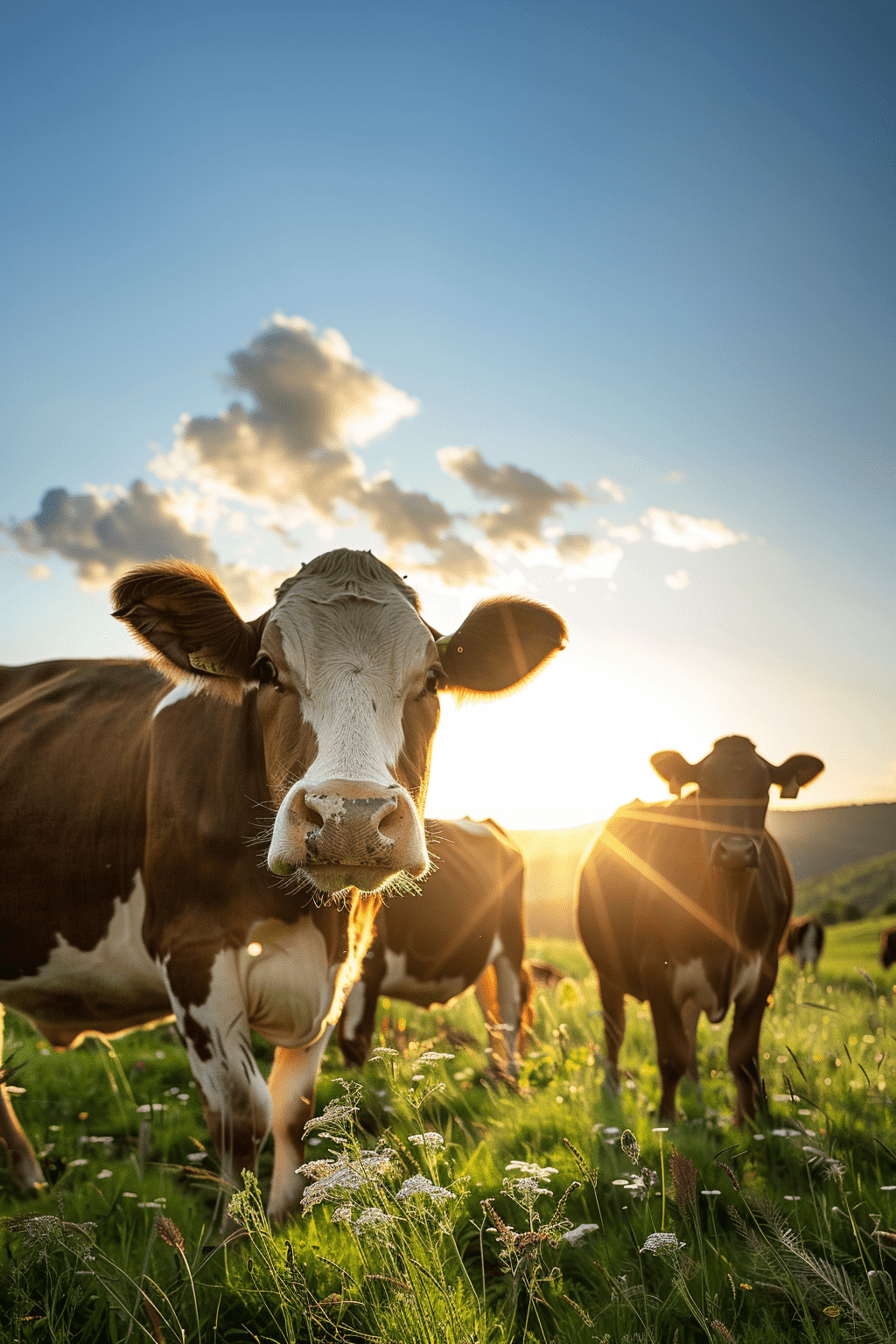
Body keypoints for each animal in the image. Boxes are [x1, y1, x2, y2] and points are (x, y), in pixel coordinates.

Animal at [337, 817, 531, 1075]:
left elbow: (353, 1044)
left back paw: (509, 1076)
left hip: (511, 944)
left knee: (510, 1009)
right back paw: (493, 1072)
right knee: (492, 1011)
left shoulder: (366, 969)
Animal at [575, 736, 824, 1124]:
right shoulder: (656, 969)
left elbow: (743, 1058)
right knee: (615, 1031)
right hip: (607, 969)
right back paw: (613, 1091)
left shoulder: (764, 972)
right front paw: (666, 1122)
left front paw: (747, 1124)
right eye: (704, 789)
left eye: (763, 789)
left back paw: (696, 1096)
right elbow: (670, 1056)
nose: (735, 852)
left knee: (690, 1033)